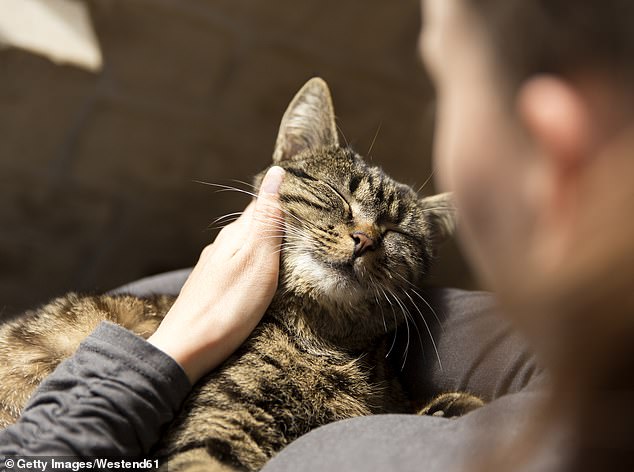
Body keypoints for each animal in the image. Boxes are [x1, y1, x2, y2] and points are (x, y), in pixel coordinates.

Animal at [0, 79, 476, 470]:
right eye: (335, 193)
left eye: (396, 232)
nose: (364, 239)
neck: (325, 342)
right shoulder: (218, 424)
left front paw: (451, 409)